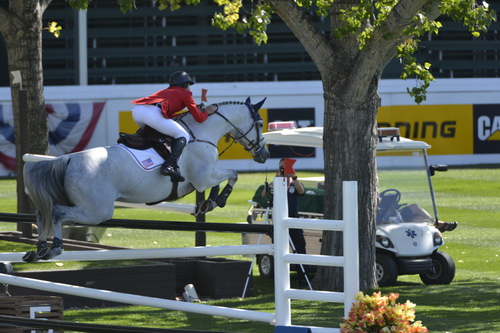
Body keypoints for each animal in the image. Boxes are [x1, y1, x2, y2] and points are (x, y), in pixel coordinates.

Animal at [22, 97, 270, 260]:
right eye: (259, 124)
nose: (265, 155)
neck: (200, 134)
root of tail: (68, 160)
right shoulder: (203, 177)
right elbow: (232, 175)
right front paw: (219, 199)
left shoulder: (203, 179)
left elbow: (220, 182)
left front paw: (209, 202)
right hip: (97, 210)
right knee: (57, 213)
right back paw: (54, 248)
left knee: (43, 213)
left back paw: (40, 249)